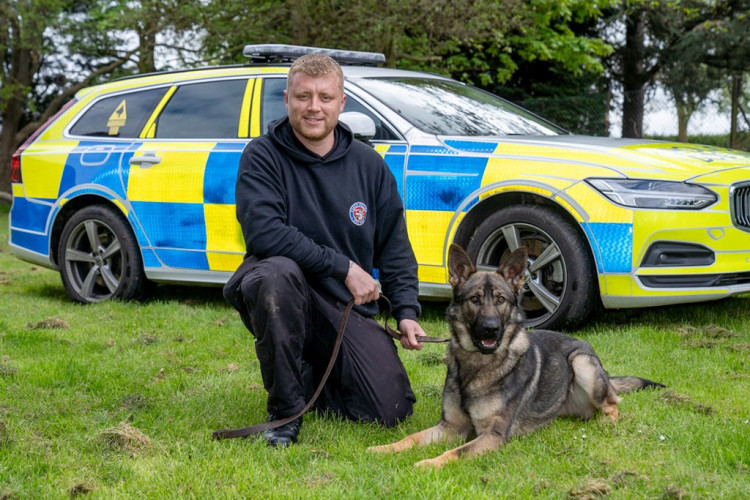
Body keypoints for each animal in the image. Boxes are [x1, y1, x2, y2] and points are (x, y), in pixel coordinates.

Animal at [370, 244, 664, 466]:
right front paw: (383, 449)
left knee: (613, 404)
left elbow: (455, 453)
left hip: (581, 363)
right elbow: (412, 438)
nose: (491, 328)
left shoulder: (493, 436)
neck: (478, 364)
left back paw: (607, 423)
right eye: (475, 299)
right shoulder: (450, 427)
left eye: (501, 299)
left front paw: (427, 464)